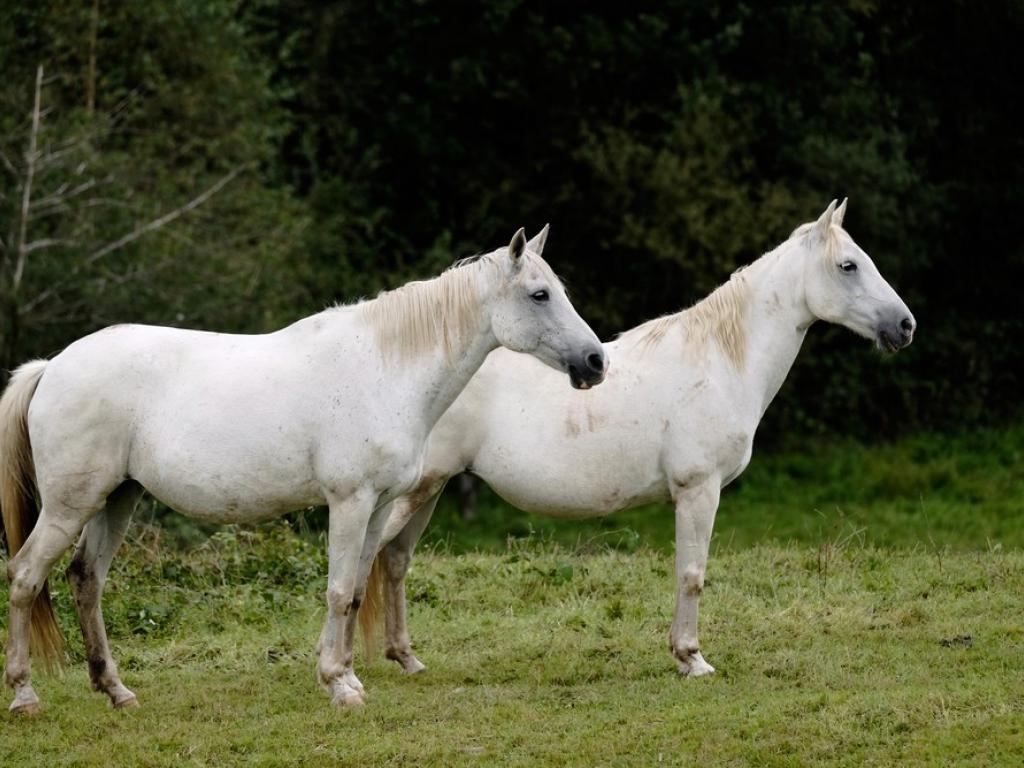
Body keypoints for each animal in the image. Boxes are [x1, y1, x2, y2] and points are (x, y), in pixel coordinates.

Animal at [0, 224, 606, 716]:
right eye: (539, 295)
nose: (596, 362)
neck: (385, 368)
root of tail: (52, 366)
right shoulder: (350, 501)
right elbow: (338, 590)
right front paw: (338, 684)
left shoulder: (379, 505)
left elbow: (358, 589)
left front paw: (351, 677)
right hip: (70, 506)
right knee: (26, 576)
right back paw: (25, 696)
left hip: (117, 498)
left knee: (87, 581)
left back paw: (116, 690)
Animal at [364, 202, 917, 679]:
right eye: (848, 266)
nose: (905, 325)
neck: (722, 359)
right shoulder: (699, 491)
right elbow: (692, 573)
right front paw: (691, 659)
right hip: (410, 494)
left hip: (429, 492)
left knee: (394, 562)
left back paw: (406, 658)